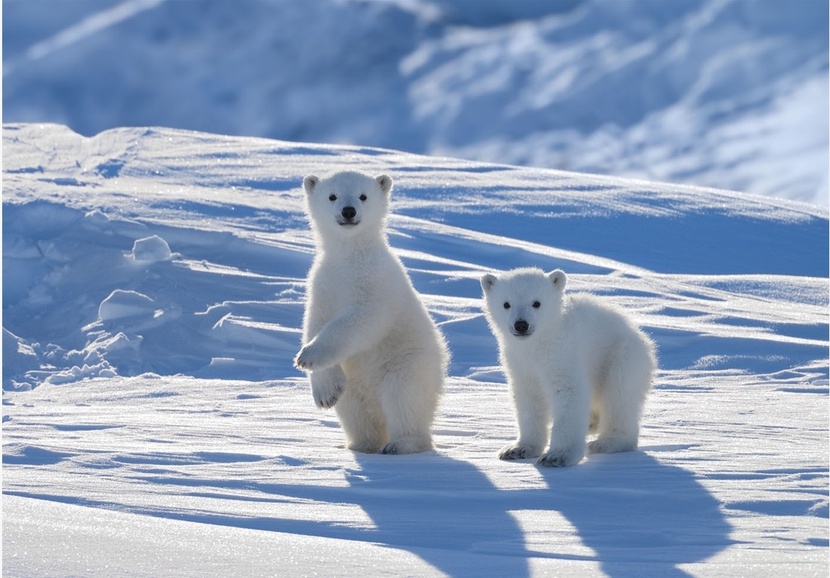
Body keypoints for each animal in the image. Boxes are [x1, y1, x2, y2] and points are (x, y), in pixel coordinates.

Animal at [294, 170, 448, 455]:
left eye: (363, 196)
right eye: (332, 195)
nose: (348, 211)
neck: (350, 257)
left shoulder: (377, 283)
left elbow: (360, 321)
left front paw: (307, 356)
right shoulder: (323, 285)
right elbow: (314, 322)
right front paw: (325, 392)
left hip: (407, 364)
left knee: (404, 399)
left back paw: (400, 443)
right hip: (356, 384)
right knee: (353, 409)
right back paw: (359, 444)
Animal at [481, 267, 656, 467]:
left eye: (536, 303)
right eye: (506, 304)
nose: (521, 325)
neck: (540, 343)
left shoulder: (562, 355)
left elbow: (568, 393)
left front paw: (557, 456)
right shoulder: (521, 364)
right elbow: (529, 399)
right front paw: (517, 449)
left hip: (621, 357)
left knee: (619, 398)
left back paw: (606, 442)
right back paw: (591, 424)